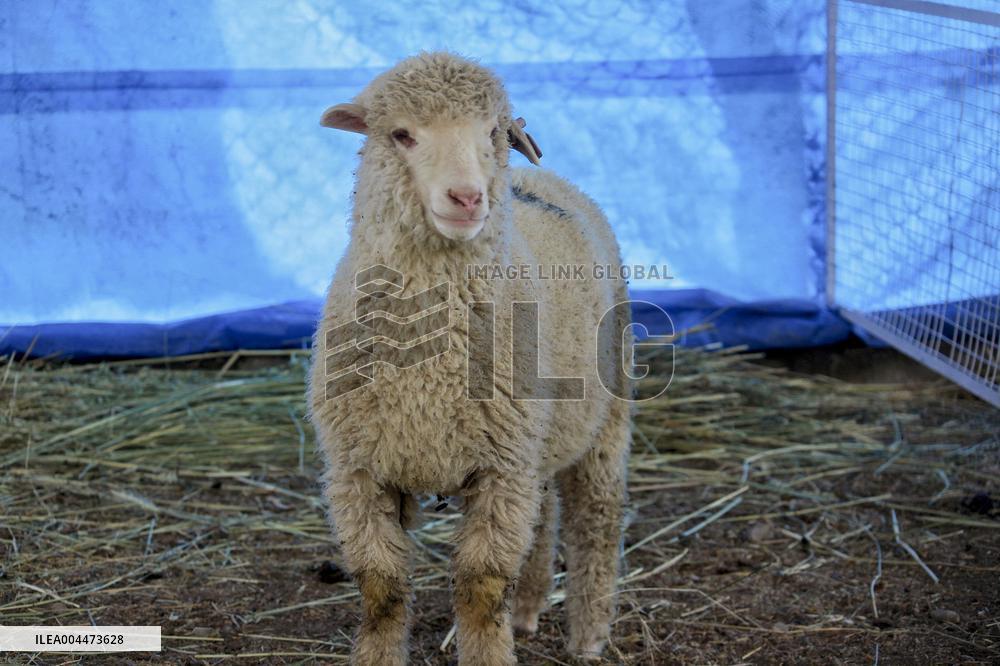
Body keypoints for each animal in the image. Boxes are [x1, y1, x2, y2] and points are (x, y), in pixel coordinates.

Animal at [308, 52, 633, 666]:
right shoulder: (359, 472)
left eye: (492, 134)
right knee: (545, 514)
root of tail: (543, 178)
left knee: (595, 519)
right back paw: (528, 610)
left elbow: (482, 591)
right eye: (402, 135)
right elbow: (381, 590)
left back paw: (589, 634)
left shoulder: (501, 472)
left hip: (607, 416)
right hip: (536, 441)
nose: (466, 198)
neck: (427, 384)